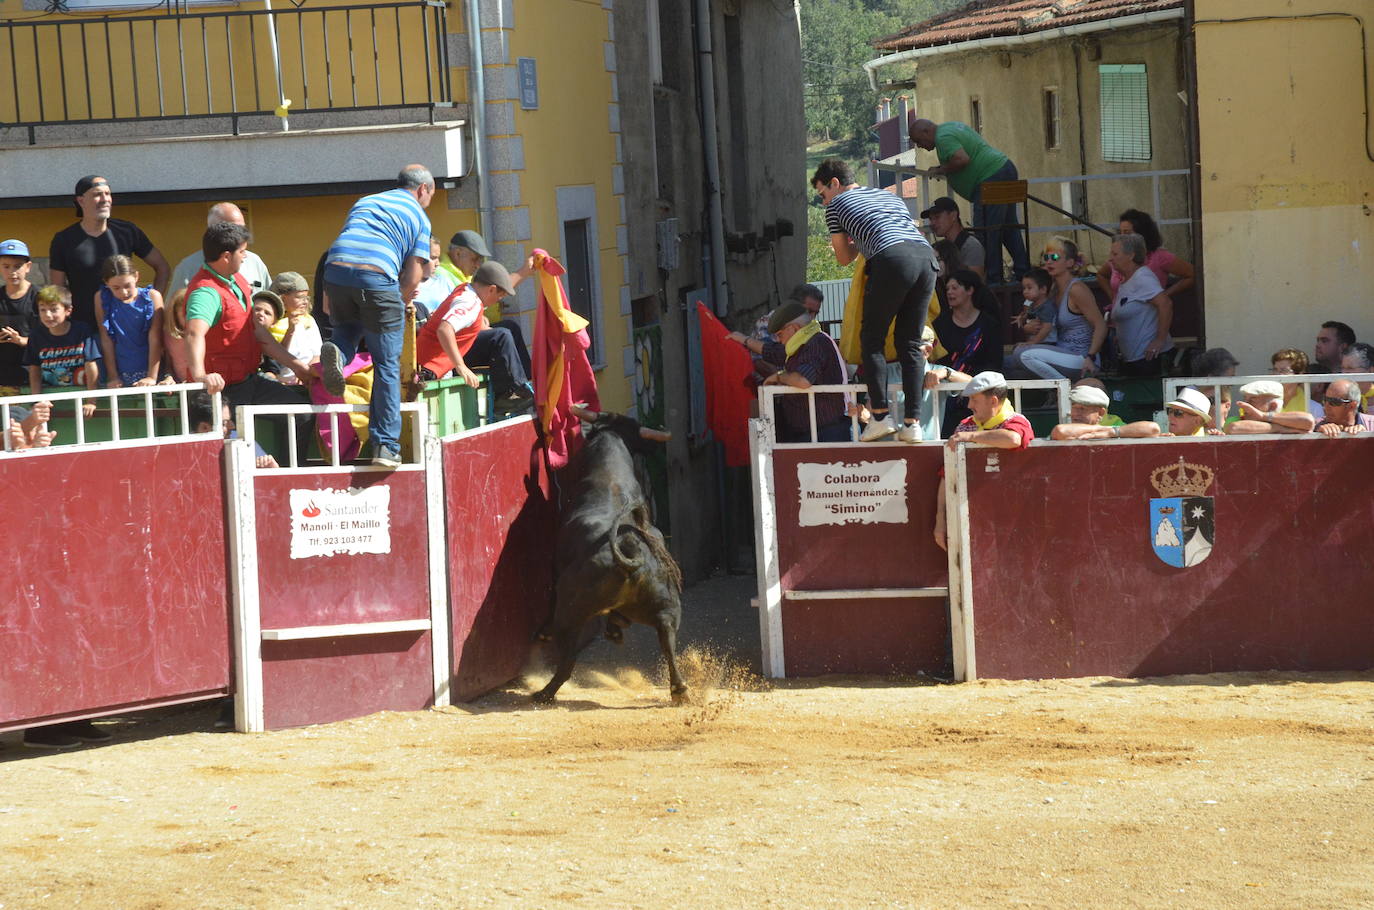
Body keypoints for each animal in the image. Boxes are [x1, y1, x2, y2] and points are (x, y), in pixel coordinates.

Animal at [533, 412, 687, 703]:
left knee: (567, 659)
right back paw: (679, 689)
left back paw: (544, 692)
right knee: (667, 639)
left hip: (570, 613)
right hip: (666, 608)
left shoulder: (556, 570)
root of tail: (630, 552)